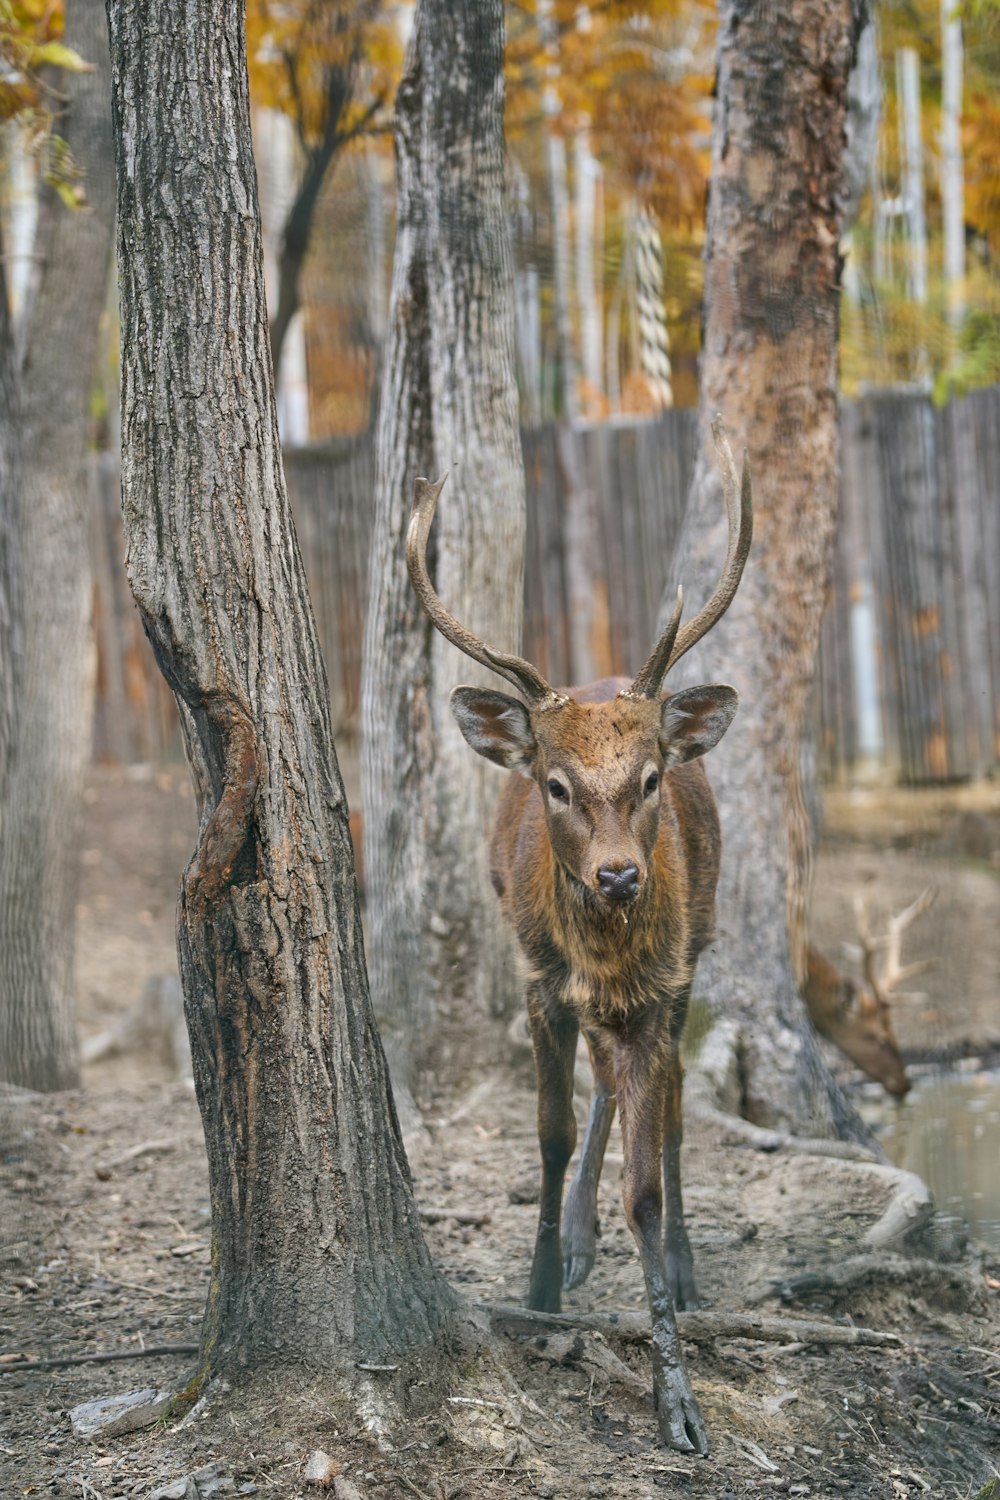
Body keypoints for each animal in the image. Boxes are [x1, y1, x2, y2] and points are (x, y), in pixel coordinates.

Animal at [407, 414, 749, 1452]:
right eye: (557, 784)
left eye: (649, 776)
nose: (619, 874)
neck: (602, 959)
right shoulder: (535, 978)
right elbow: (551, 1133)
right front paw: (543, 1283)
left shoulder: (660, 988)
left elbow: (647, 1175)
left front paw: (678, 1401)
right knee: (597, 1090)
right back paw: (575, 1241)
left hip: (694, 954)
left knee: (670, 1108)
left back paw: (675, 1257)